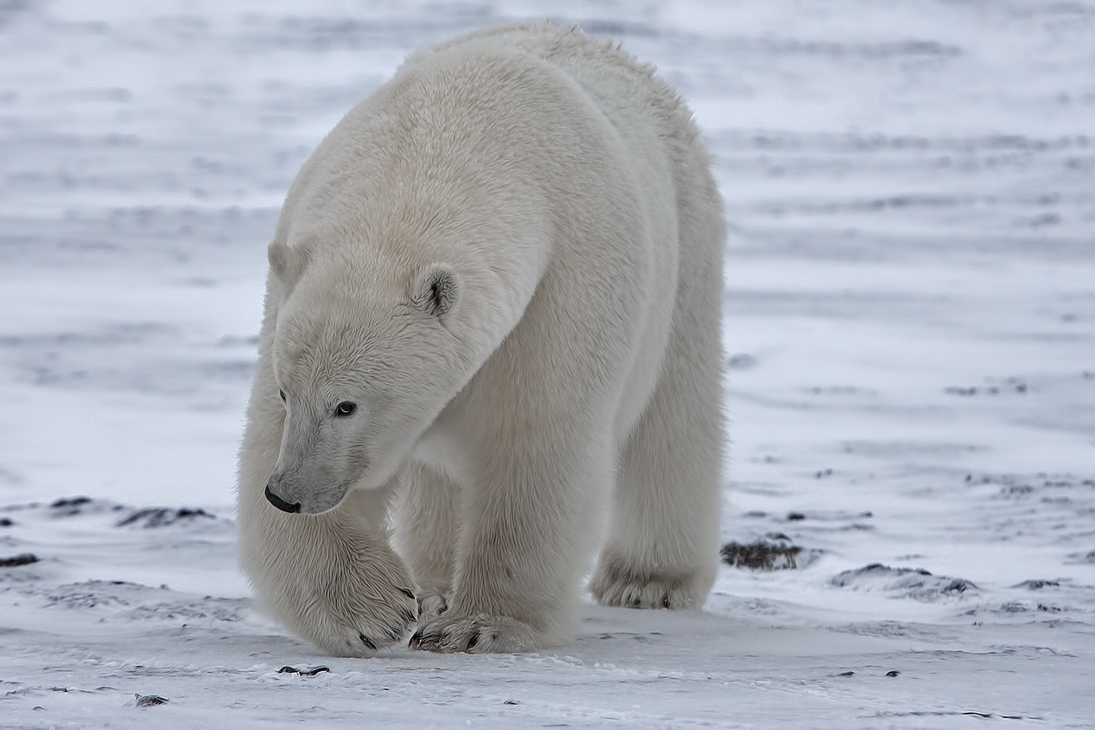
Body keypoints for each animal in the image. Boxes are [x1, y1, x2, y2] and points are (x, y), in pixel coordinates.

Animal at [235, 22, 722, 656]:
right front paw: (376, 609)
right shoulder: (296, 276)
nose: (287, 494)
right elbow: (267, 440)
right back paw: (434, 583)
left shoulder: (564, 282)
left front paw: (478, 625)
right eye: (286, 391)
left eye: (347, 405)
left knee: (673, 419)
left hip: (687, 248)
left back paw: (646, 580)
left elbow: (536, 443)